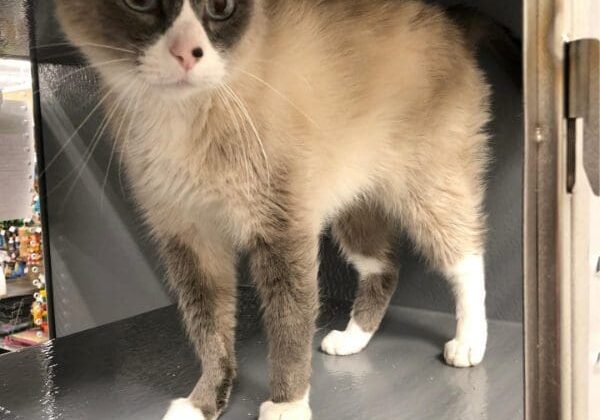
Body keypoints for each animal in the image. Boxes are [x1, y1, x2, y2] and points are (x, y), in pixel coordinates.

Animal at [56, 1, 496, 418]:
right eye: (140, 3)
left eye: (220, 8)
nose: (187, 53)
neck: (183, 119)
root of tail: (448, 24)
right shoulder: (191, 241)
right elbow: (210, 333)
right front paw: (204, 403)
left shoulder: (282, 232)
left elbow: (289, 327)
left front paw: (287, 404)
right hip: (354, 205)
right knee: (384, 267)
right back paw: (352, 339)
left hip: (429, 190)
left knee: (467, 257)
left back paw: (469, 343)